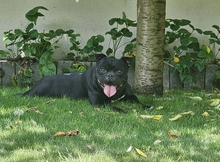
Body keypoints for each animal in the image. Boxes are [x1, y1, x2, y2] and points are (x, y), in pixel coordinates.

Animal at [22, 54, 153, 110]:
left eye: (119, 71)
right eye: (103, 69)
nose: (110, 75)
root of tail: (44, 78)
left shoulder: (131, 96)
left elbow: (137, 100)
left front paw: (147, 106)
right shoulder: (98, 102)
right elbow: (111, 106)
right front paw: (121, 110)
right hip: (36, 92)